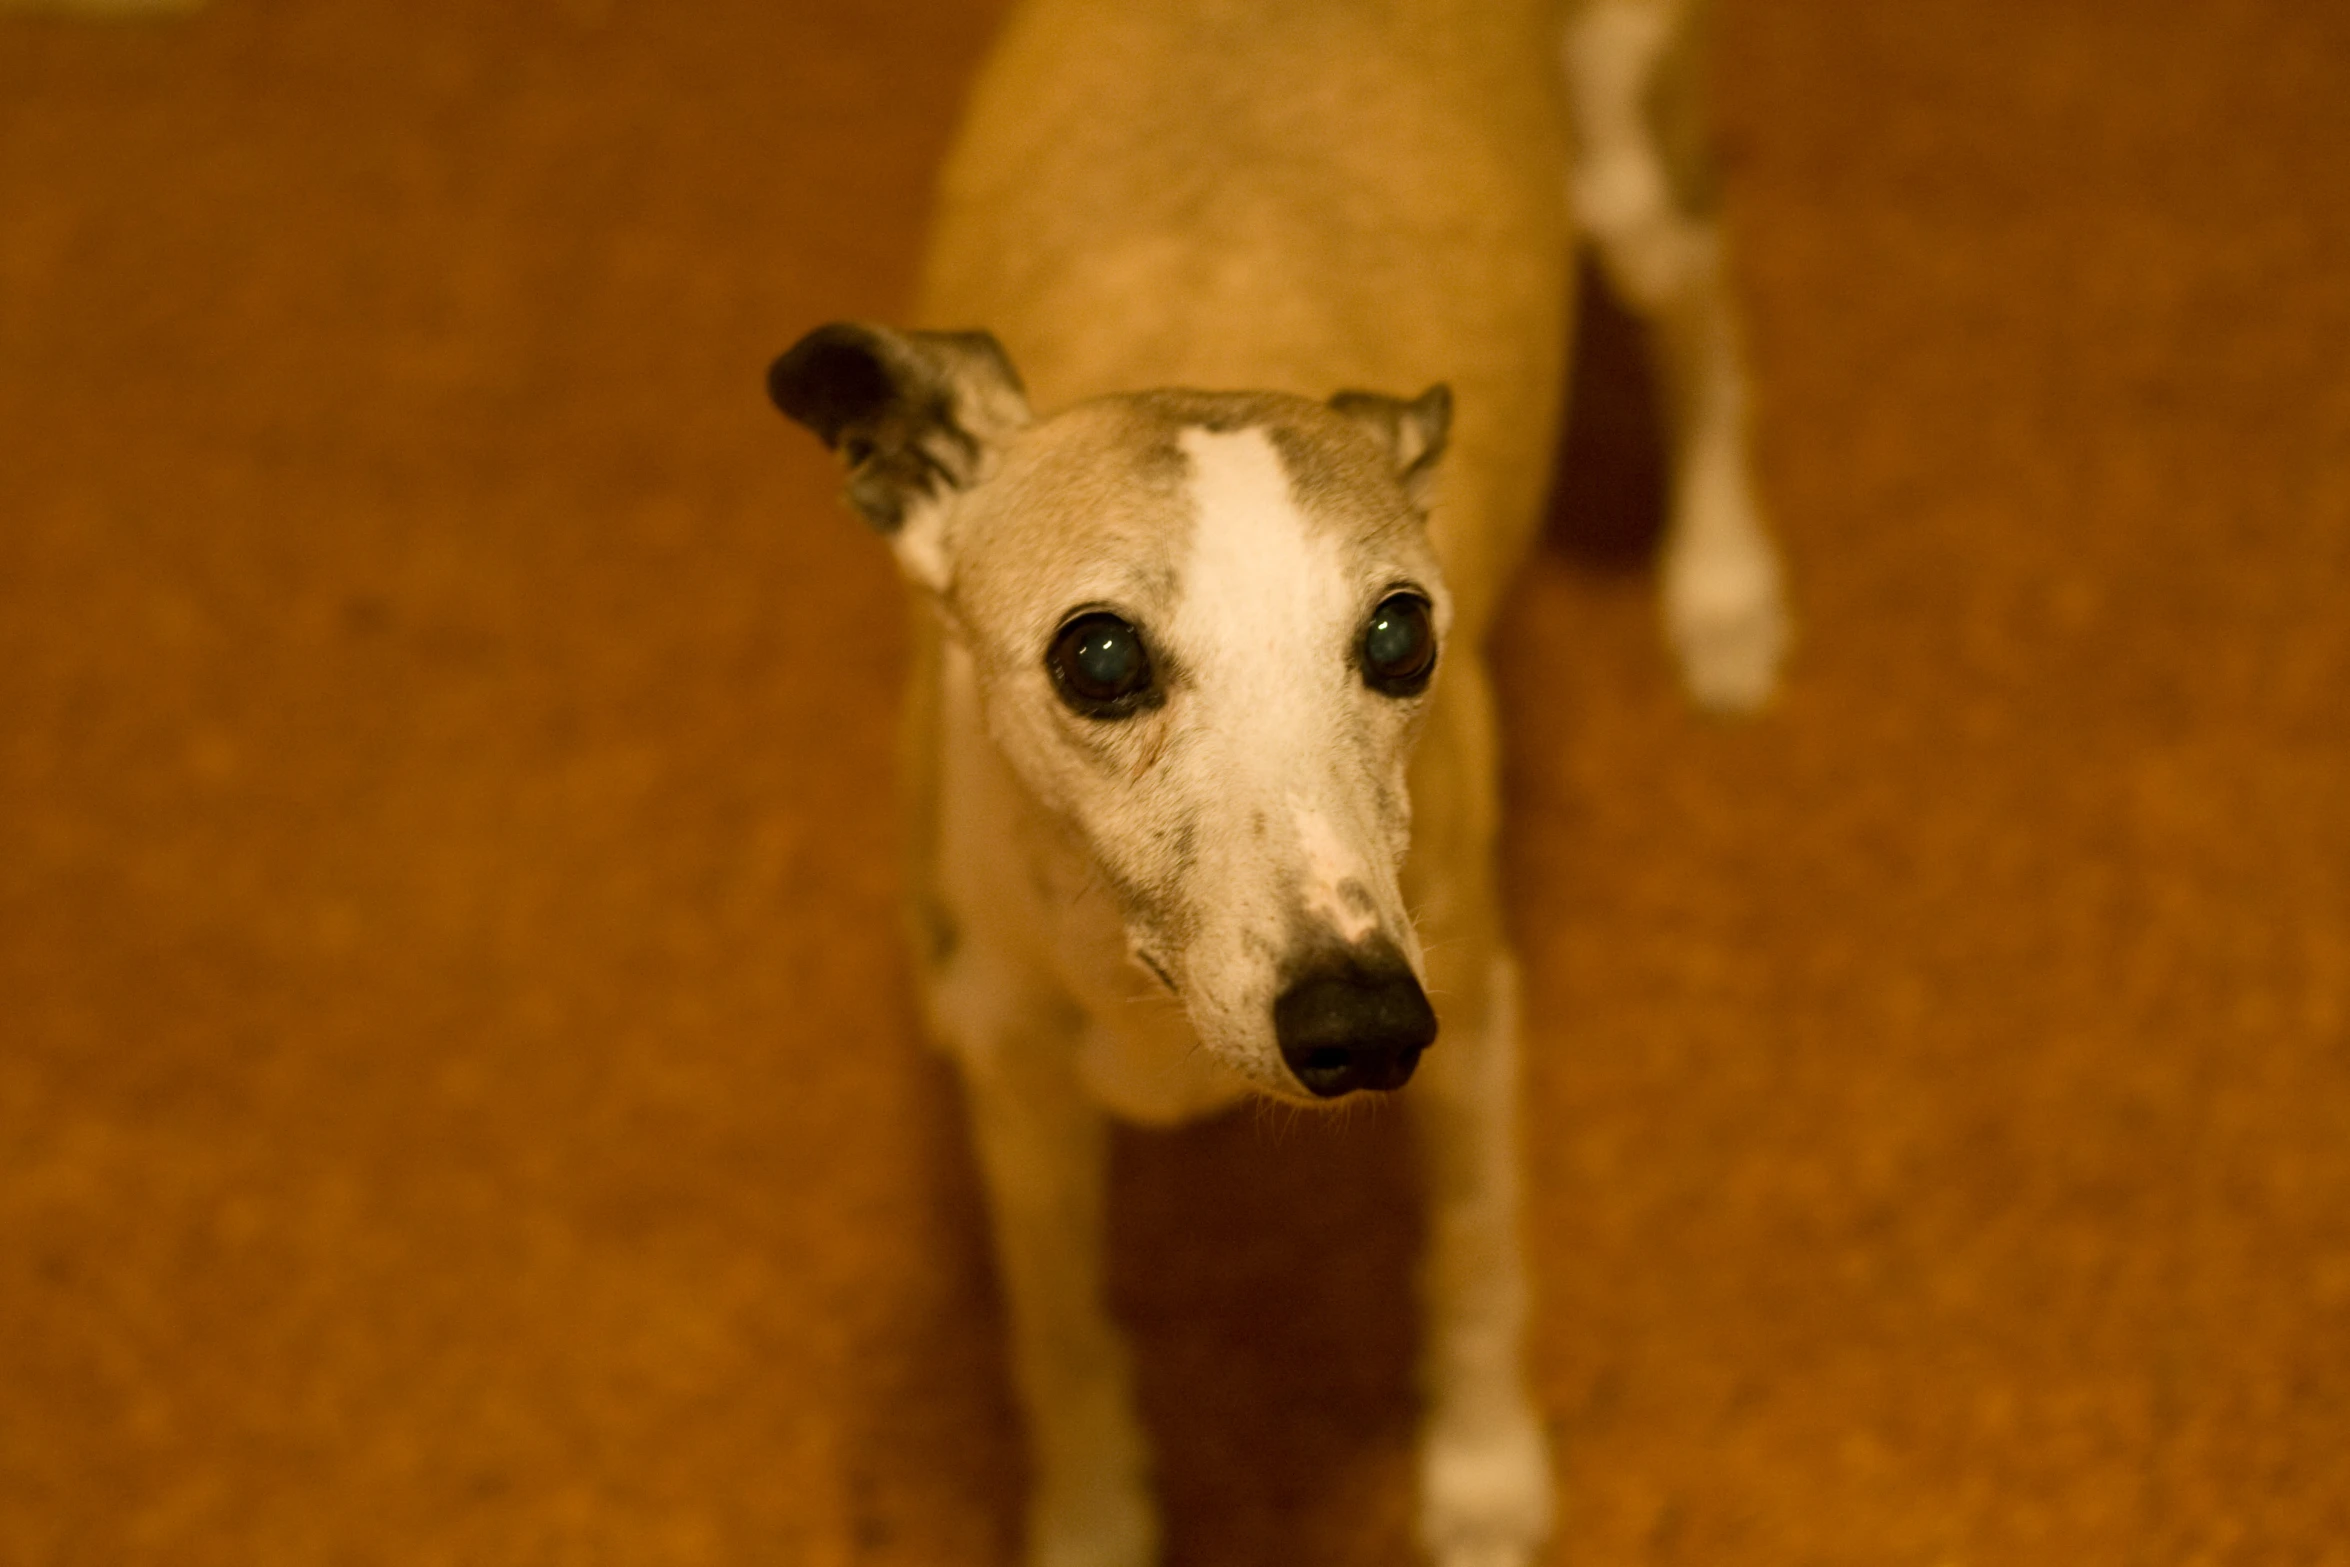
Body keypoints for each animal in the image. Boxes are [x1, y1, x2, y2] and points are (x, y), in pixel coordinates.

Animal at [770, 3, 1776, 1567]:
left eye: (1400, 631)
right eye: (1097, 654)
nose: (1358, 1023)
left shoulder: (1472, 1011)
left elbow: (1473, 1255)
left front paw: (1483, 1474)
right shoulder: (1010, 1080)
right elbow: (1058, 1335)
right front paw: (1094, 1513)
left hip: (1632, 173)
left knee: (1701, 313)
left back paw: (1724, 587)